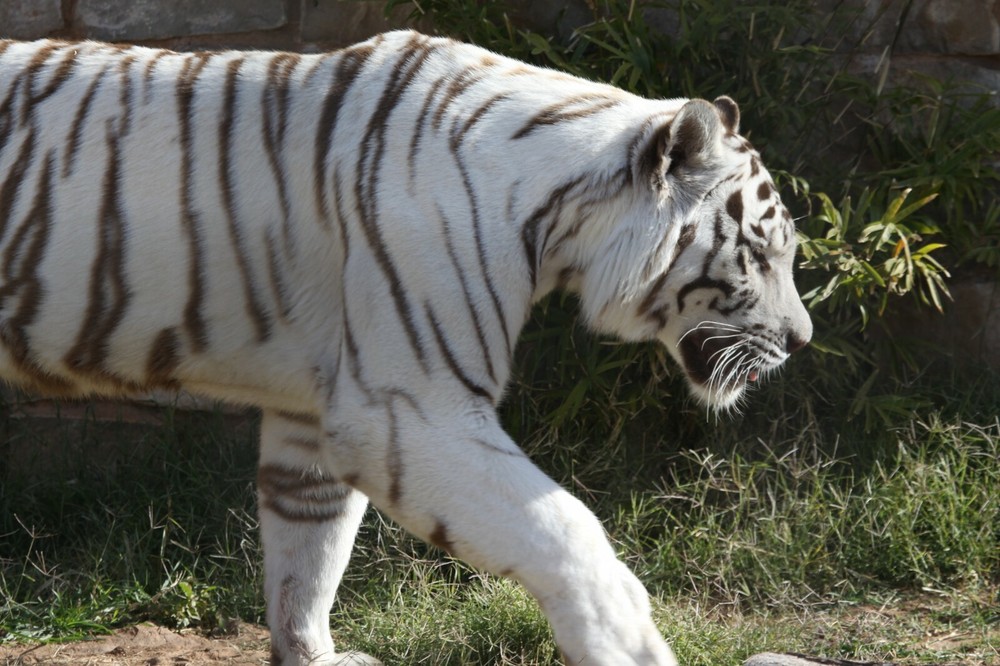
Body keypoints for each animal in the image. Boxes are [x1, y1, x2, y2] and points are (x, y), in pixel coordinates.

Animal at [0, 29, 812, 665]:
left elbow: (309, 556)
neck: (557, 216)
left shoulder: (315, 412)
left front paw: (313, 655)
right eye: (763, 253)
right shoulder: (412, 411)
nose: (802, 340)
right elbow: (566, 530)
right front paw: (634, 647)